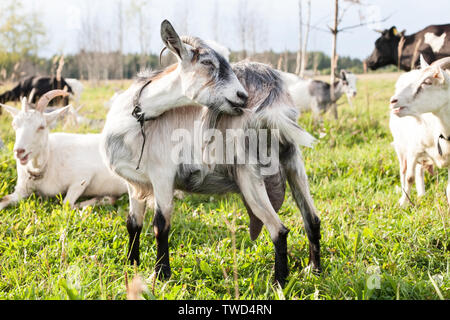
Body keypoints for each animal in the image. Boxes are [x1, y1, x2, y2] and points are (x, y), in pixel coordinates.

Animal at [388, 55, 450, 206]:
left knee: (419, 169)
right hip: (401, 146)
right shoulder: (413, 149)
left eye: (426, 82)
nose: (393, 101)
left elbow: (449, 188)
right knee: (404, 171)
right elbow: (409, 177)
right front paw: (403, 203)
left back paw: (422, 194)